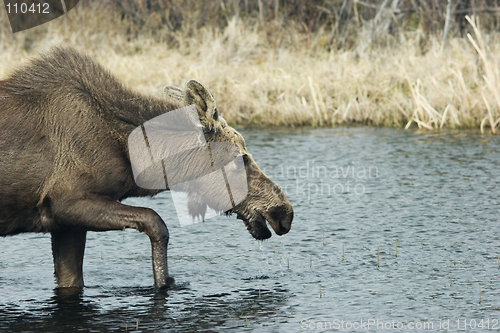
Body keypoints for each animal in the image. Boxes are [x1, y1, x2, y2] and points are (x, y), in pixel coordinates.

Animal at [0, 46, 294, 288]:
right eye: (241, 158)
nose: (284, 212)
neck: (132, 157)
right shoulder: (66, 200)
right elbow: (156, 222)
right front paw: (165, 282)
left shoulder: (64, 224)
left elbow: (71, 279)